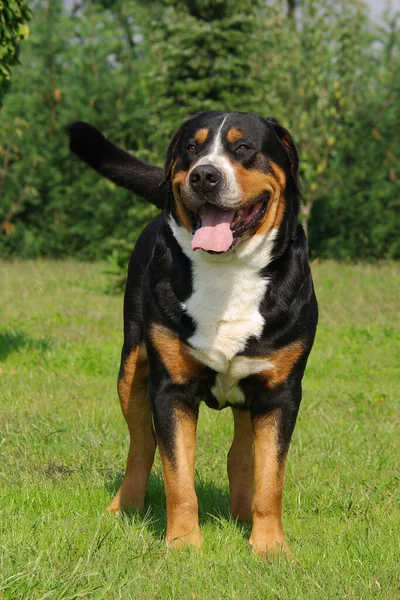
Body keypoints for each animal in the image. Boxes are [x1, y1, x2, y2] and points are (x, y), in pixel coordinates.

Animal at [68, 111, 318, 552]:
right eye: (191, 147)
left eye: (243, 147)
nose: (204, 175)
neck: (228, 273)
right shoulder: (171, 389)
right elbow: (177, 474)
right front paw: (184, 544)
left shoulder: (281, 393)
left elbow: (270, 476)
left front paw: (270, 547)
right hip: (131, 368)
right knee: (141, 444)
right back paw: (124, 506)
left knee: (241, 453)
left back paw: (242, 513)